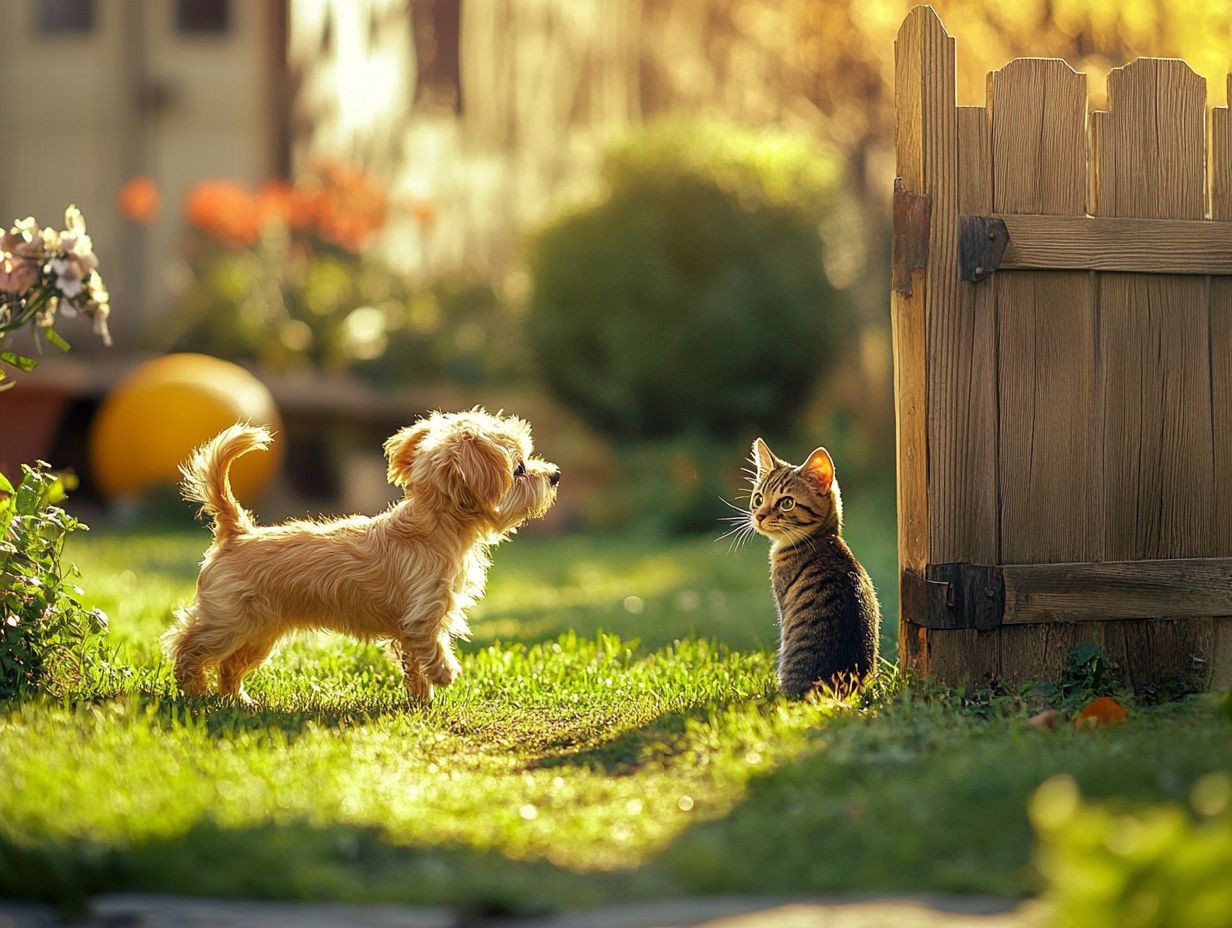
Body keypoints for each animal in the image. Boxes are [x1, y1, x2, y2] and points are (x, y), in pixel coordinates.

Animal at [162, 409, 559, 704]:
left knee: (229, 667)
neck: (436, 527)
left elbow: (414, 665)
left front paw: (422, 701)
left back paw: (237, 700)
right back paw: (193, 687)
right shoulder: (424, 614)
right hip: (229, 622)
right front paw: (445, 674)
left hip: (259, 635)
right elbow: (432, 647)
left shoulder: (411, 628)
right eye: (520, 468)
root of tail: (237, 532)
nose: (555, 474)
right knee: (186, 643)